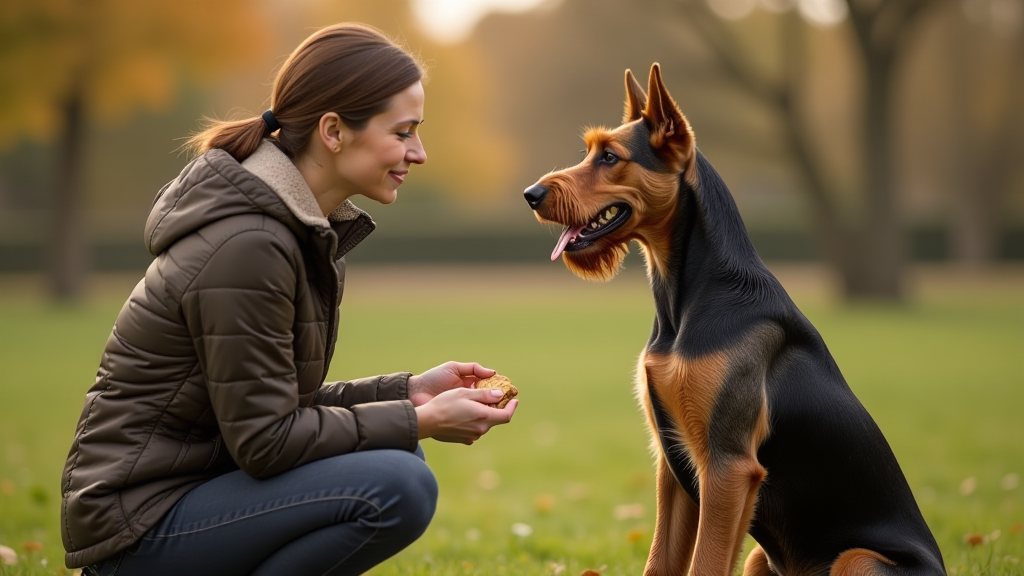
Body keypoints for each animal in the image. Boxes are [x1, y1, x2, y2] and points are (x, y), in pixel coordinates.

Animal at [524, 63, 946, 573]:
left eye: (609, 157)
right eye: (591, 151)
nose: (531, 194)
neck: (682, 303)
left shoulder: (727, 465)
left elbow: (705, 561)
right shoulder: (673, 464)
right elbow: (661, 561)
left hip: (856, 559)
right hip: (759, 558)